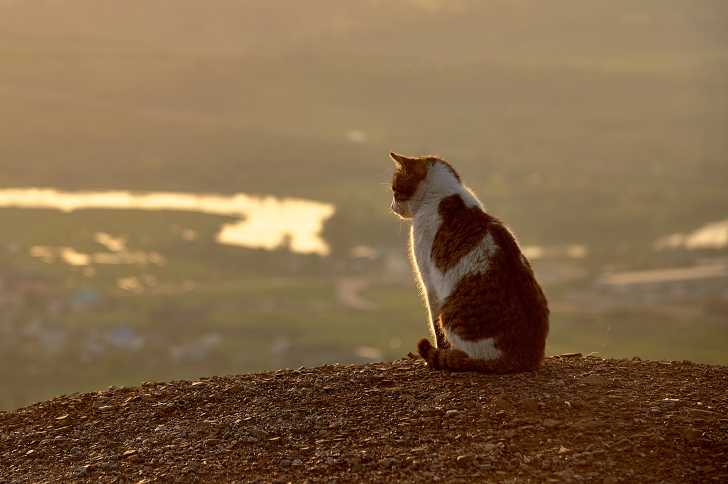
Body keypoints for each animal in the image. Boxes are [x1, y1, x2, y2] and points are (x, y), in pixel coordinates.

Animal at [390, 153, 548, 372]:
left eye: (395, 190)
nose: (392, 207)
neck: (444, 196)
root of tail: (523, 357)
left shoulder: (429, 284)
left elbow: (436, 329)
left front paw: (437, 353)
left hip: (450, 314)